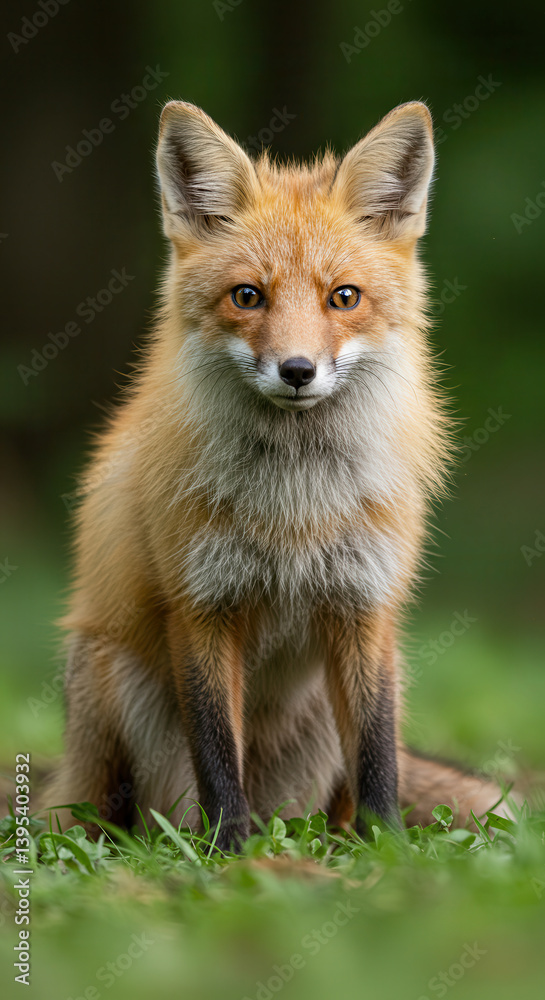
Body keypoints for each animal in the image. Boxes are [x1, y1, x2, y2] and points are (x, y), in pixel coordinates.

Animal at [48, 99, 508, 851]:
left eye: (343, 297)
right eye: (247, 296)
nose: (297, 370)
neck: (296, 505)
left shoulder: (365, 605)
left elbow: (377, 753)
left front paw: (386, 851)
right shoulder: (200, 606)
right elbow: (216, 751)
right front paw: (227, 852)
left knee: (345, 792)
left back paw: (335, 840)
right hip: (112, 685)